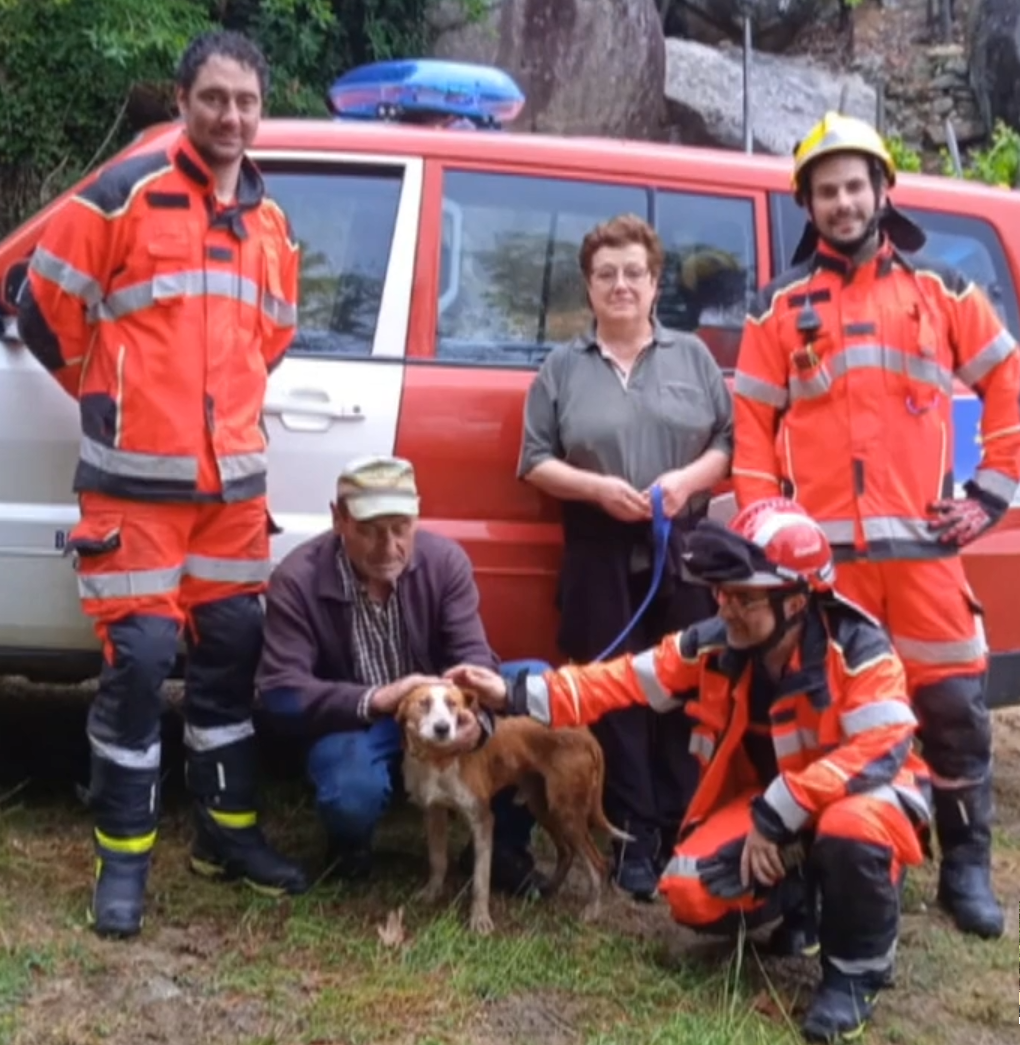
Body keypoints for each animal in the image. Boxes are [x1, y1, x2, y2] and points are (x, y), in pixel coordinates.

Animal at [397, 681, 631, 936]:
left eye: (453, 704)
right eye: (424, 703)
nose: (442, 728)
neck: (437, 760)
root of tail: (586, 734)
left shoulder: (482, 819)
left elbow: (481, 880)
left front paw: (480, 920)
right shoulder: (434, 813)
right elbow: (437, 860)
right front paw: (431, 892)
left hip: (567, 811)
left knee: (598, 863)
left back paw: (591, 910)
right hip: (544, 806)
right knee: (566, 852)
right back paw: (548, 888)